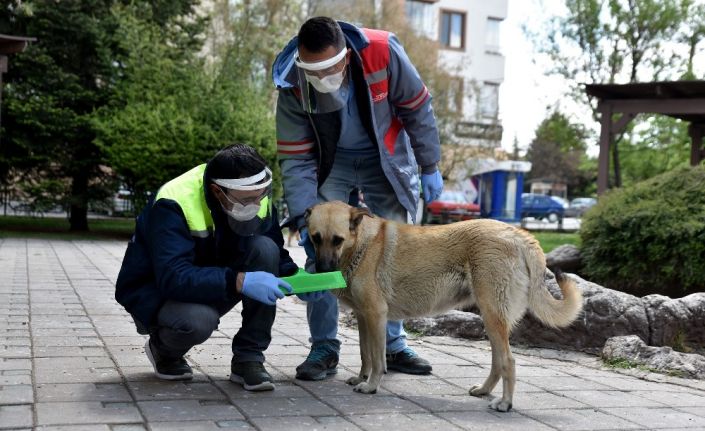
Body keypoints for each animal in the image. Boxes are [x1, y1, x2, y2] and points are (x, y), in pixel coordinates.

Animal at [304, 202, 584, 412]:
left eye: (337, 240)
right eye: (315, 238)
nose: (321, 270)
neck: (361, 245)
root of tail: (519, 235)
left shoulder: (376, 316)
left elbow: (376, 358)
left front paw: (371, 386)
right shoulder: (364, 317)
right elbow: (365, 354)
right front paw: (362, 378)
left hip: (493, 316)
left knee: (508, 361)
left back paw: (505, 403)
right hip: (491, 320)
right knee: (497, 361)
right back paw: (484, 391)